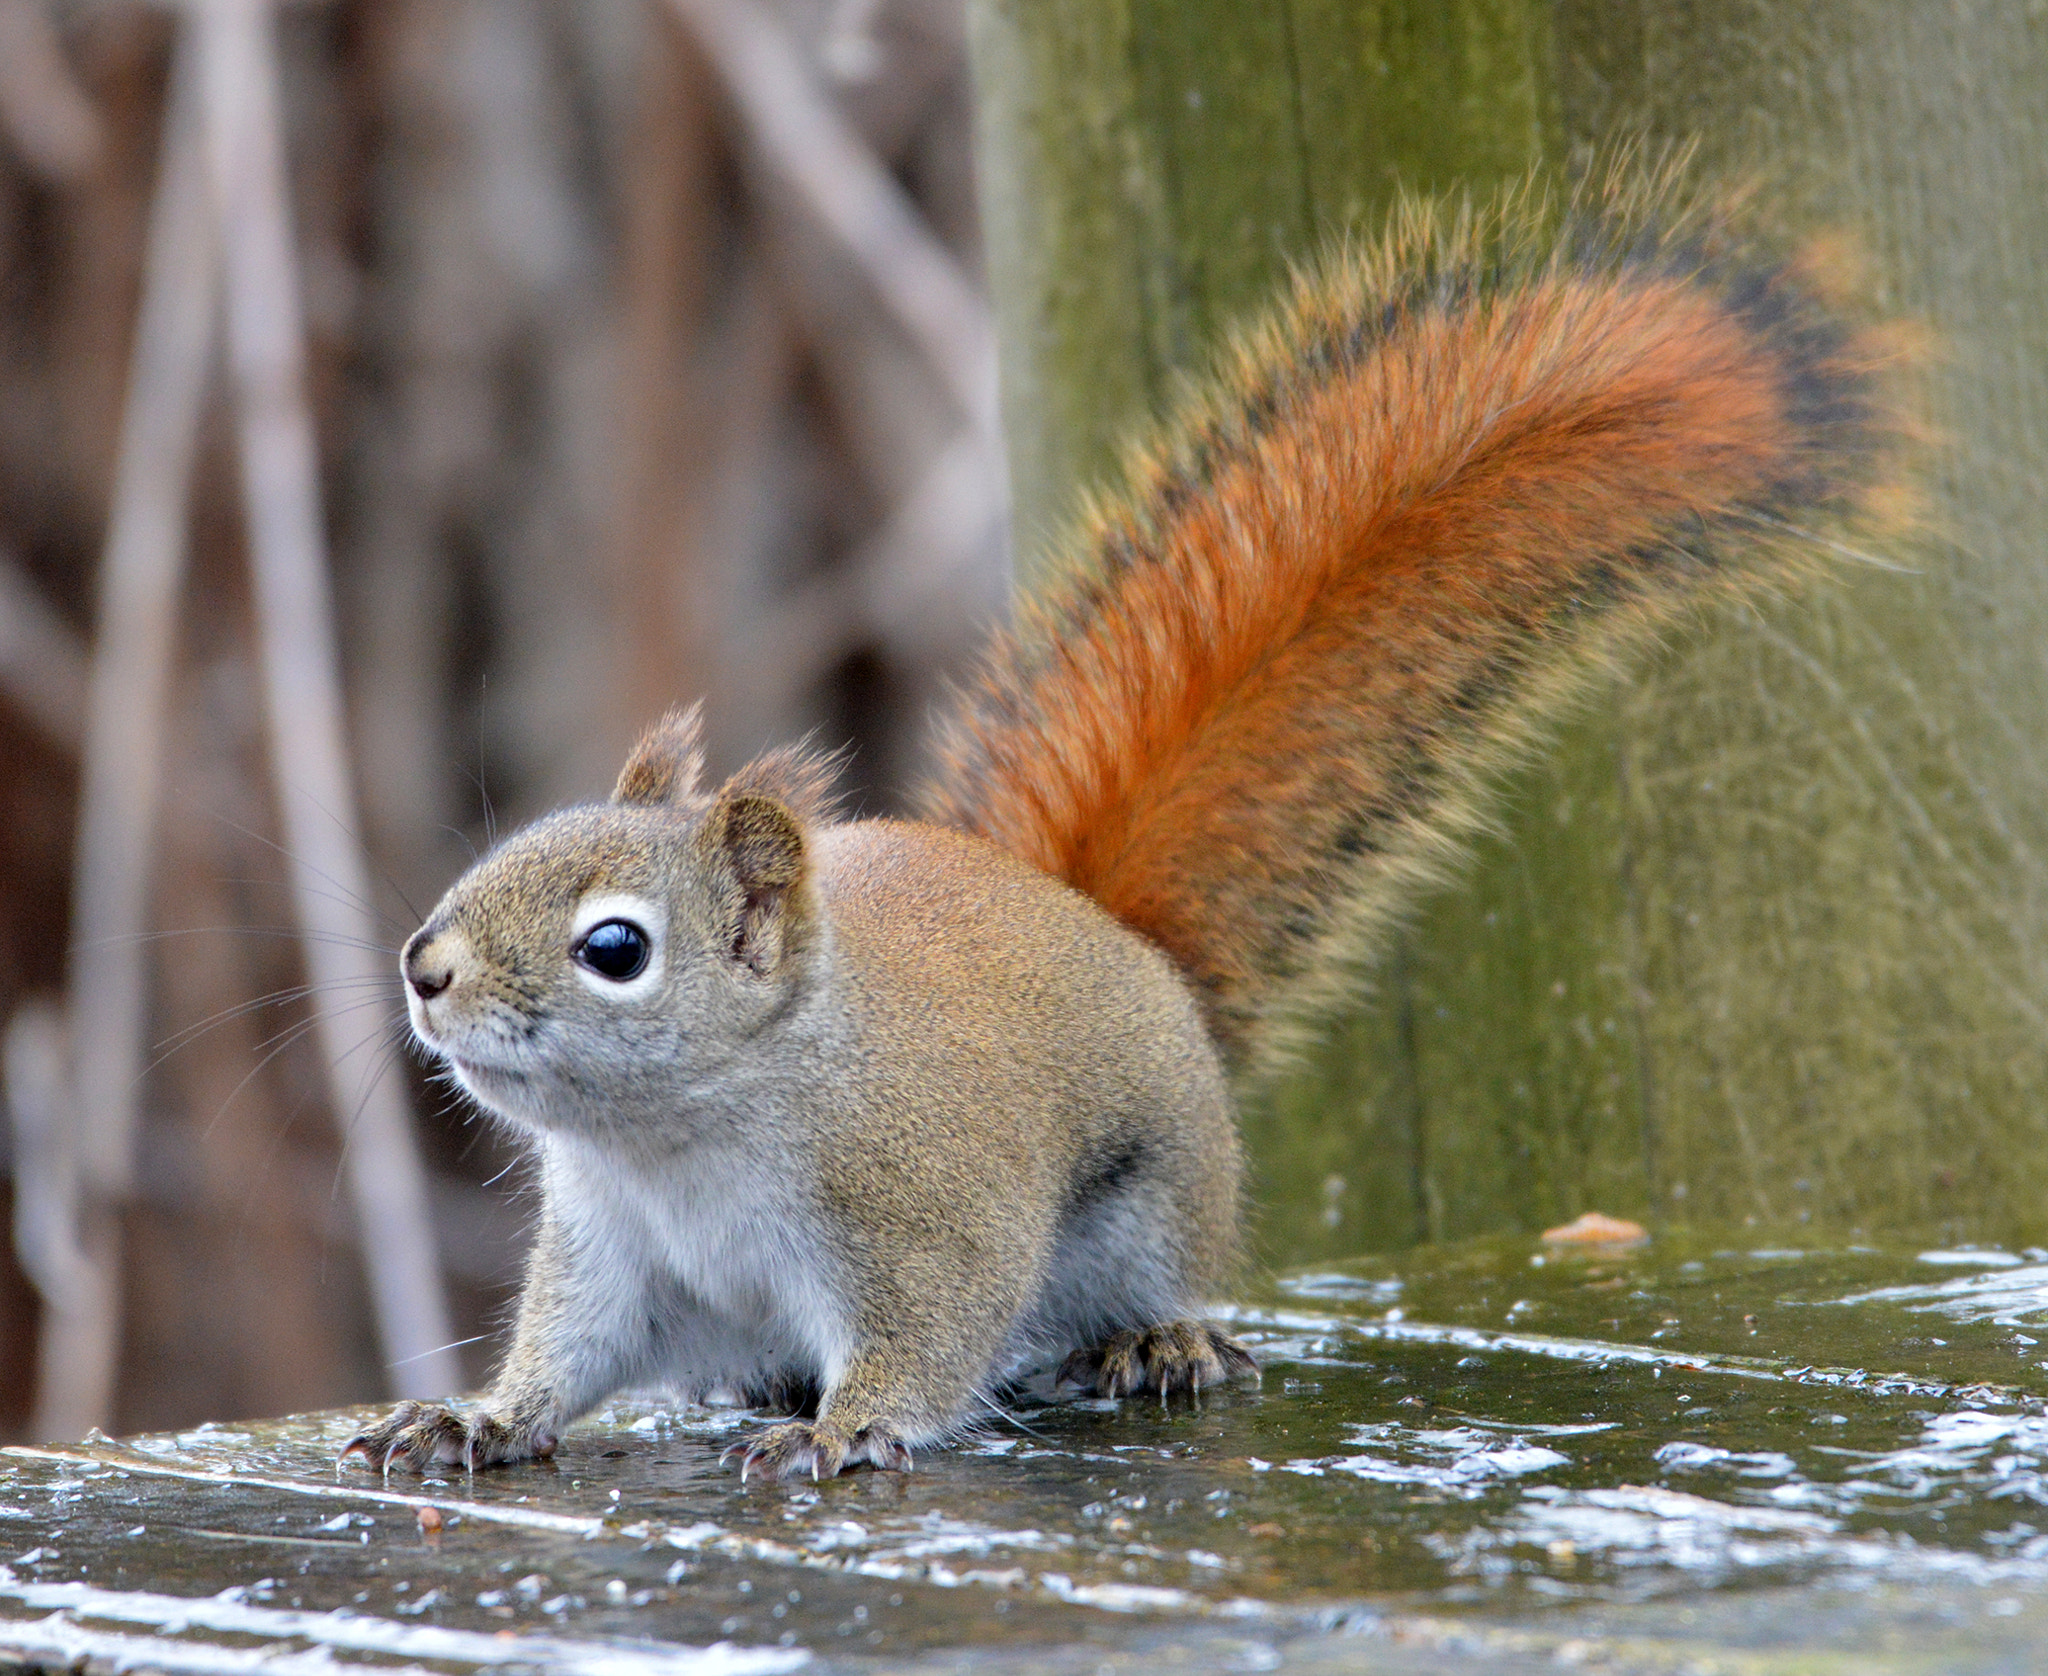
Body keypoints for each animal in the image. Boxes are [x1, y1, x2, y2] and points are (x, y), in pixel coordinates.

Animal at [342, 162, 1904, 1482]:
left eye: (616, 949)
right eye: (502, 850)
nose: (424, 969)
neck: (680, 1142)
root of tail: (1100, 923)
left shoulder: (923, 1215)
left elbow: (927, 1338)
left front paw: (844, 1431)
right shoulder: (610, 1257)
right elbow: (568, 1358)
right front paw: (475, 1416)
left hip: (1150, 1207)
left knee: (1139, 1291)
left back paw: (1156, 1340)